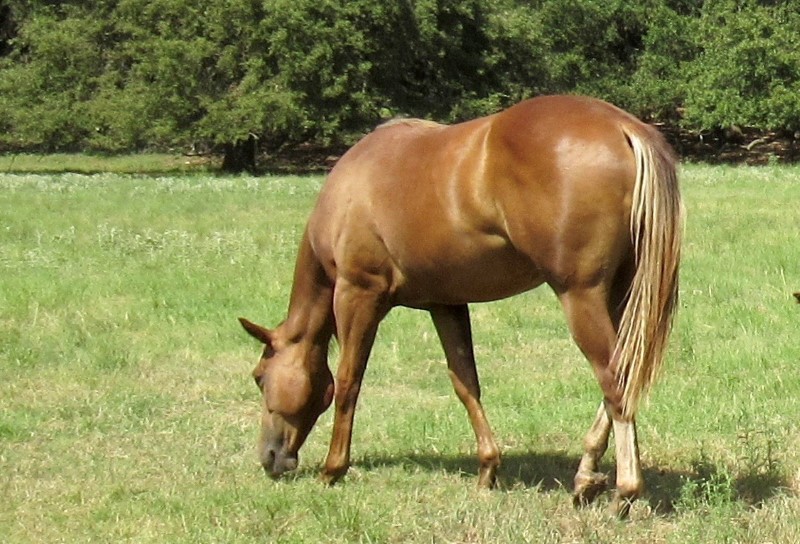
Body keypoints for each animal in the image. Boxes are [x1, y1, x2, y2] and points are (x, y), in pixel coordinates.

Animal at [238, 94, 680, 520]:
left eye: (259, 377)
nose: (270, 458)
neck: (351, 187)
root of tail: (623, 127)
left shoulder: (358, 293)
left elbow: (349, 381)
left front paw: (333, 469)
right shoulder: (445, 304)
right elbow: (465, 382)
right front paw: (488, 468)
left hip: (580, 295)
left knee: (615, 381)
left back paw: (625, 490)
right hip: (619, 295)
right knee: (624, 375)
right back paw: (586, 476)